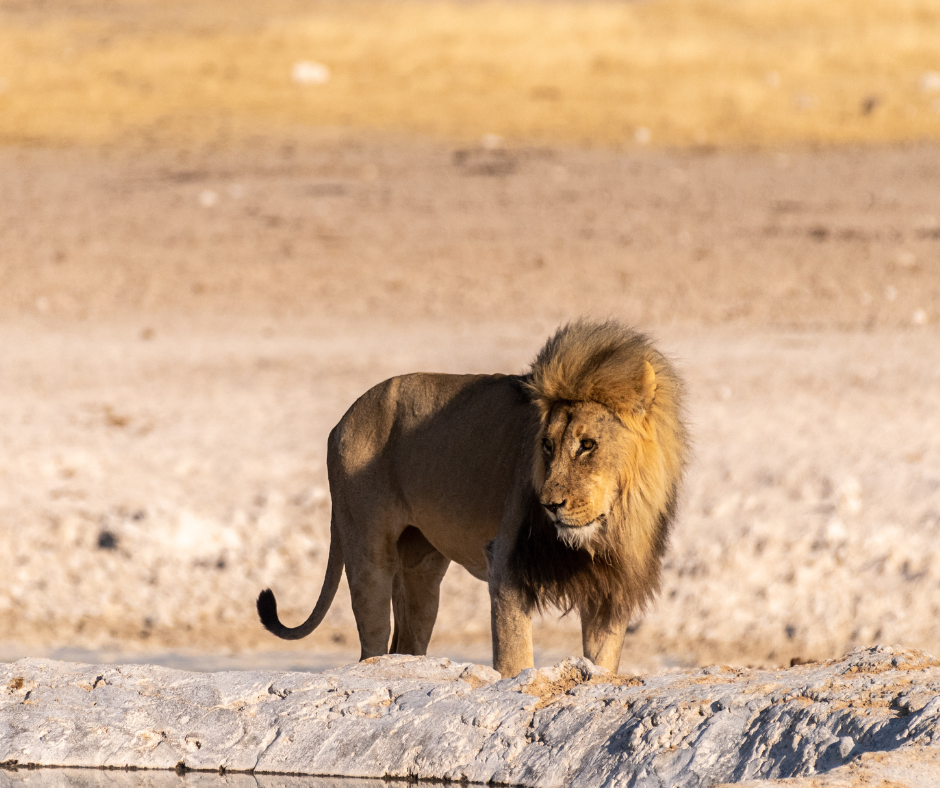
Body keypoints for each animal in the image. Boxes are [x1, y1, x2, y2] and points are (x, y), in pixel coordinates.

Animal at [257, 319, 688, 677]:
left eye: (587, 445)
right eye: (547, 446)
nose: (550, 505)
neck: (614, 521)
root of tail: (341, 422)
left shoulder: (612, 587)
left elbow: (603, 661)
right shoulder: (507, 563)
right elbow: (515, 656)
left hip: (422, 569)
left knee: (407, 640)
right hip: (368, 551)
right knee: (373, 643)